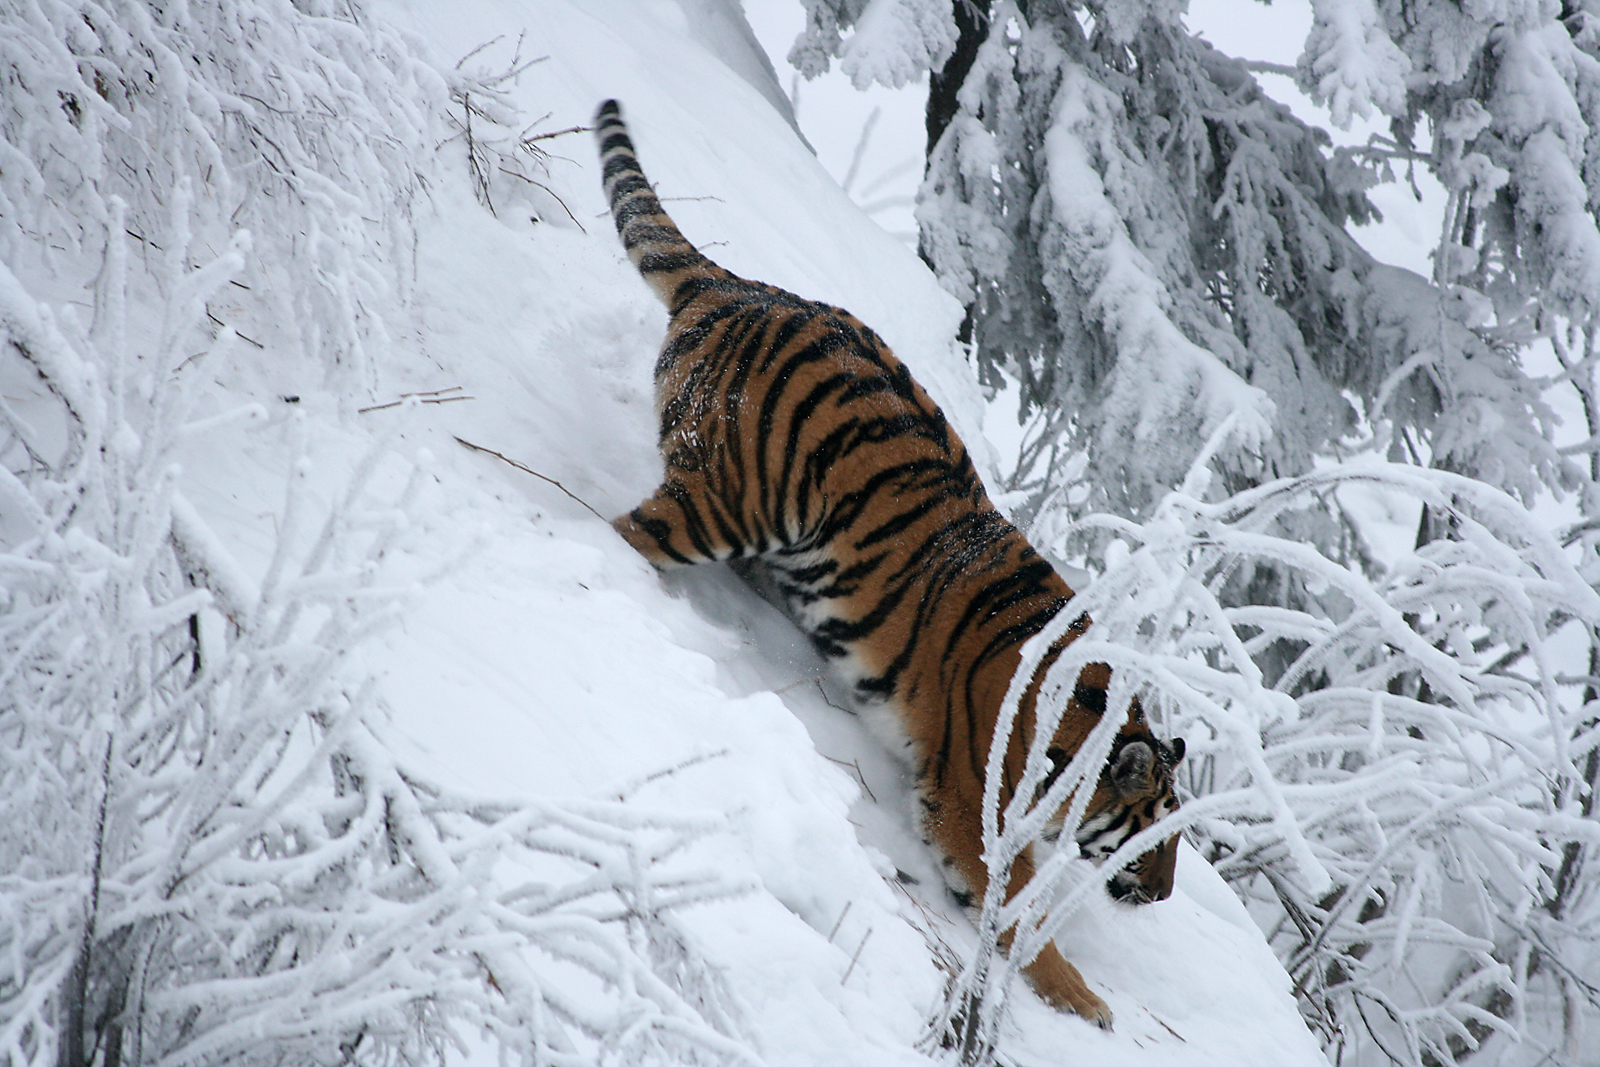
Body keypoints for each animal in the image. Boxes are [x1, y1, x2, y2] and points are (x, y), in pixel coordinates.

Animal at [593, 99, 1185, 1030]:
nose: (1160, 895)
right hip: (727, 499)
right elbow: (1018, 915)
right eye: (1155, 835)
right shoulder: (971, 808)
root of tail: (744, 289)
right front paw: (1085, 1000)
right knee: (627, 529)